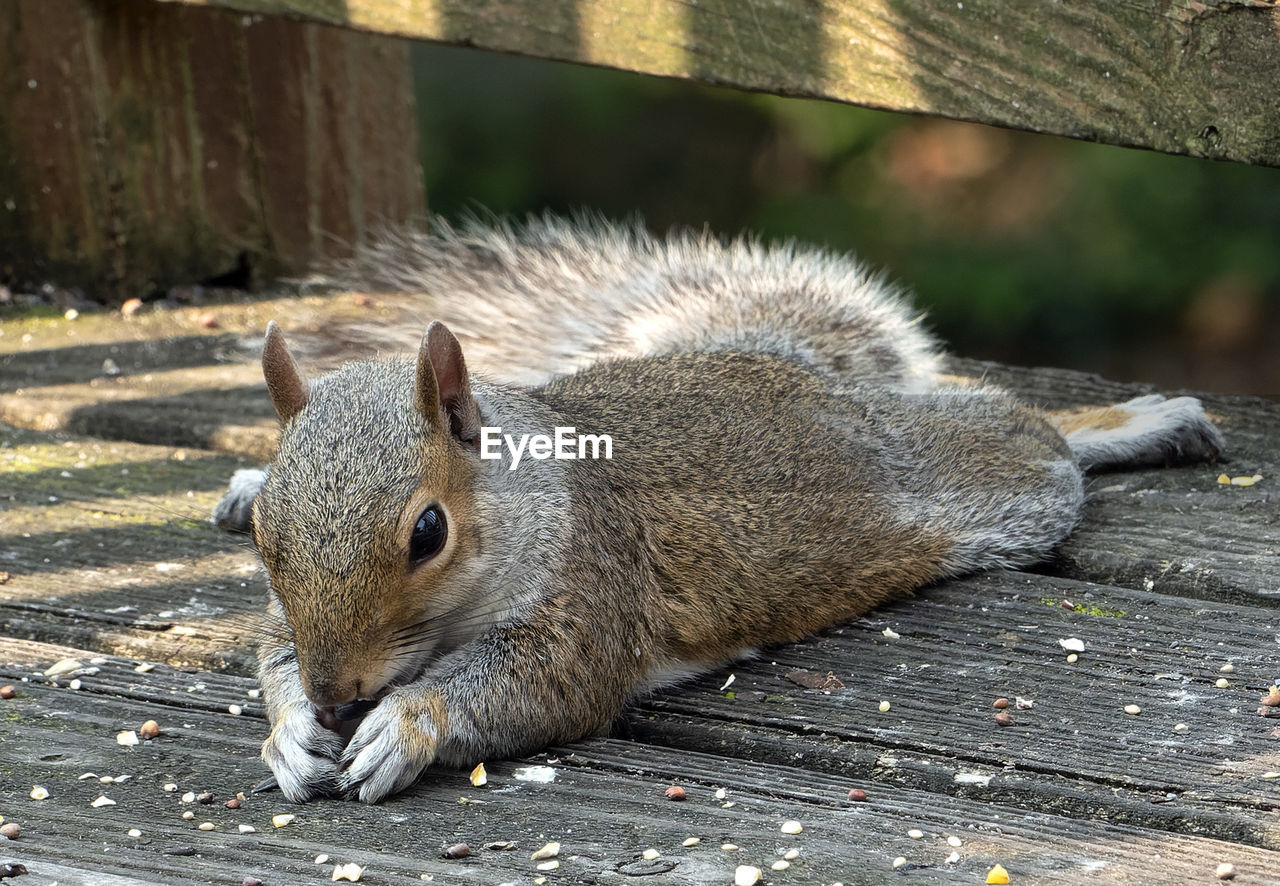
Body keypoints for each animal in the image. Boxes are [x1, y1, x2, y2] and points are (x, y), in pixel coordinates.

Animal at [215, 215, 1223, 804]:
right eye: (269, 540)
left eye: (428, 532)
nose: (337, 695)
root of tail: (792, 370)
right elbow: (269, 650)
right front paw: (289, 733)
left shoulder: (591, 587)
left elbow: (545, 685)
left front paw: (405, 726)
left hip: (982, 479)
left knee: (1024, 429)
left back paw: (1131, 423)